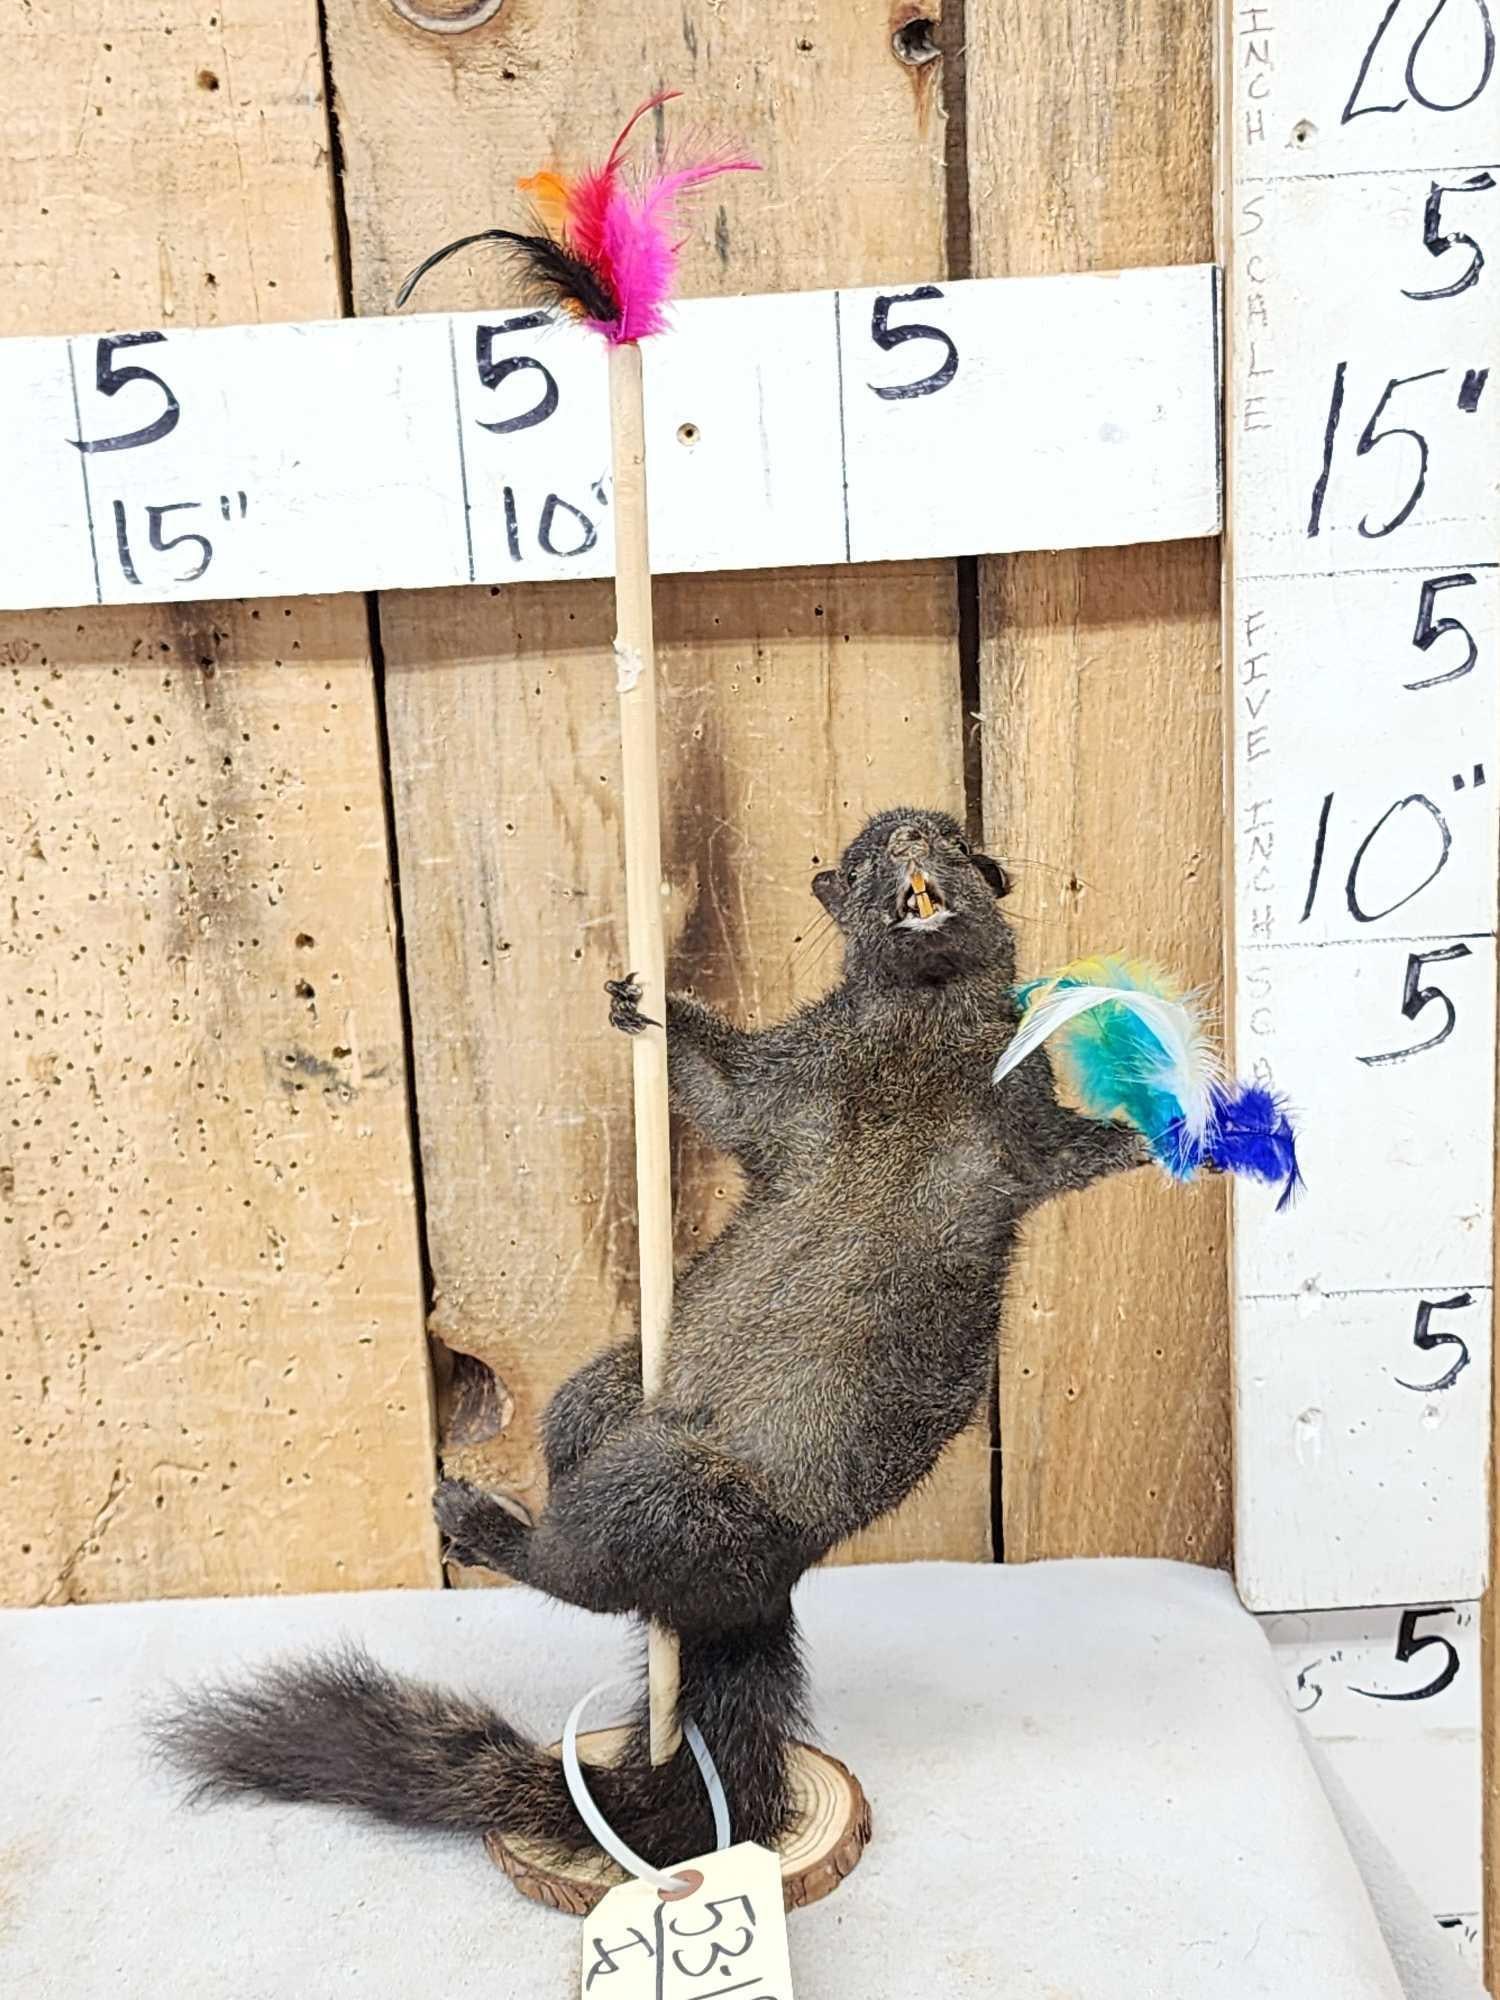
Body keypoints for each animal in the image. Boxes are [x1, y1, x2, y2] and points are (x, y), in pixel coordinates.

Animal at [153, 808, 1149, 1869]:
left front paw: (1171, 1129)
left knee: (582, 1577)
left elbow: (1073, 1152)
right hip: (611, 1409)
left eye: (957, 843)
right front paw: (642, 1003)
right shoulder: (791, 1077)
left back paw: (484, 1522)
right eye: (859, 859)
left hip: (667, 1495)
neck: (915, 1030)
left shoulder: (1021, 1117)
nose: (909, 834)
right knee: (595, 1550)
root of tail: (750, 1596)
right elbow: (722, 1089)